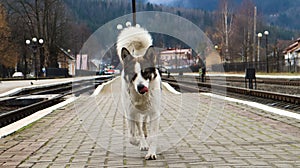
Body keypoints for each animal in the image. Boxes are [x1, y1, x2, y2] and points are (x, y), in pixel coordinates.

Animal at [116, 25, 161, 159]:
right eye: (132, 74)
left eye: (146, 72)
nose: (141, 87)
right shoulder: (130, 112)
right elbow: (132, 135)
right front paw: (138, 142)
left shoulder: (154, 113)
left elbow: (153, 135)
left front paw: (151, 152)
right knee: (140, 127)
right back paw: (142, 142)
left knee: (144, 125)